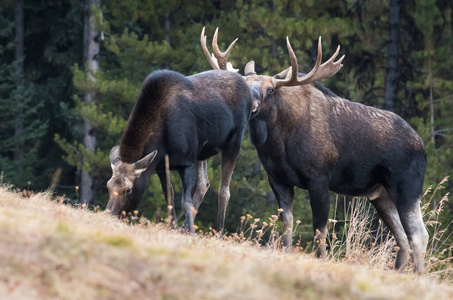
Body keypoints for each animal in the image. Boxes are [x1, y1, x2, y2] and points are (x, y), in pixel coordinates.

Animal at [105, 39, 258, 234]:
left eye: (128, 190)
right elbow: (169, 197)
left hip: (234, 141)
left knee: (224, 190)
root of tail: (248, 88)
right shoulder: (160, 166)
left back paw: (218, 232)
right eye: (108, 186)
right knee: (204, 184)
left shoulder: (187, 160)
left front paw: (191, 232)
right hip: (202, 152)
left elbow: (186, 201)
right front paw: (175, 228)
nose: (109, 214)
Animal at [201, 28, 428, 274]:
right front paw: (286, 253)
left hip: (406, 188)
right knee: (402, 238)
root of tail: (422, 146)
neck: (278, 143)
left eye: (270, 90)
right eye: (245, 83)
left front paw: (321, 260)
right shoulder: (278, 179)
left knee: (419, 235)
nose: (250, 105)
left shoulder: (319, 178)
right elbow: (287, 224)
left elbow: (320, 230)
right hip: (381, 194)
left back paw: (417, 275)